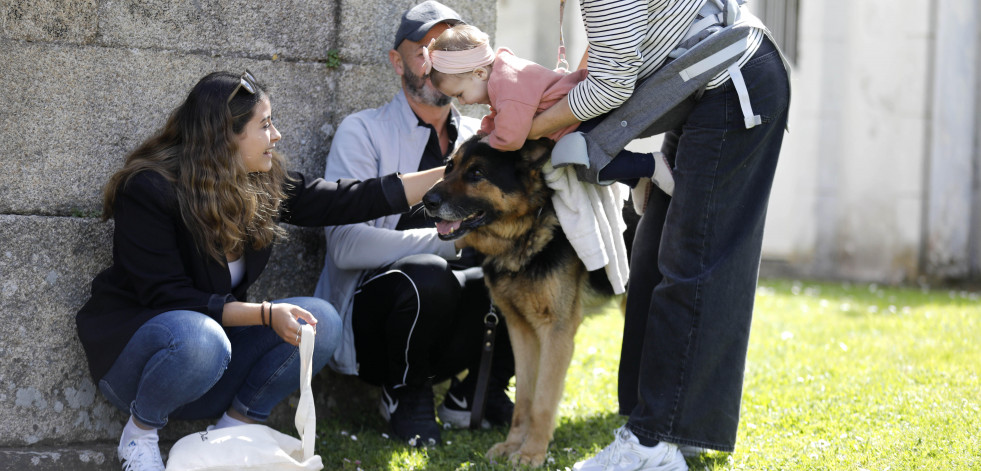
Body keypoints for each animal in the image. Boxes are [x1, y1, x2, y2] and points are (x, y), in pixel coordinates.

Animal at [422, 136, 612, 468]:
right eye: (449, 167)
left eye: (477, 173)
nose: (426, 200)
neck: (526, 234)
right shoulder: (519, 330)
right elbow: (525, 397)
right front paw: (513, 445)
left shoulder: (557, 334)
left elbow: (543, 401)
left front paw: (532, 452)